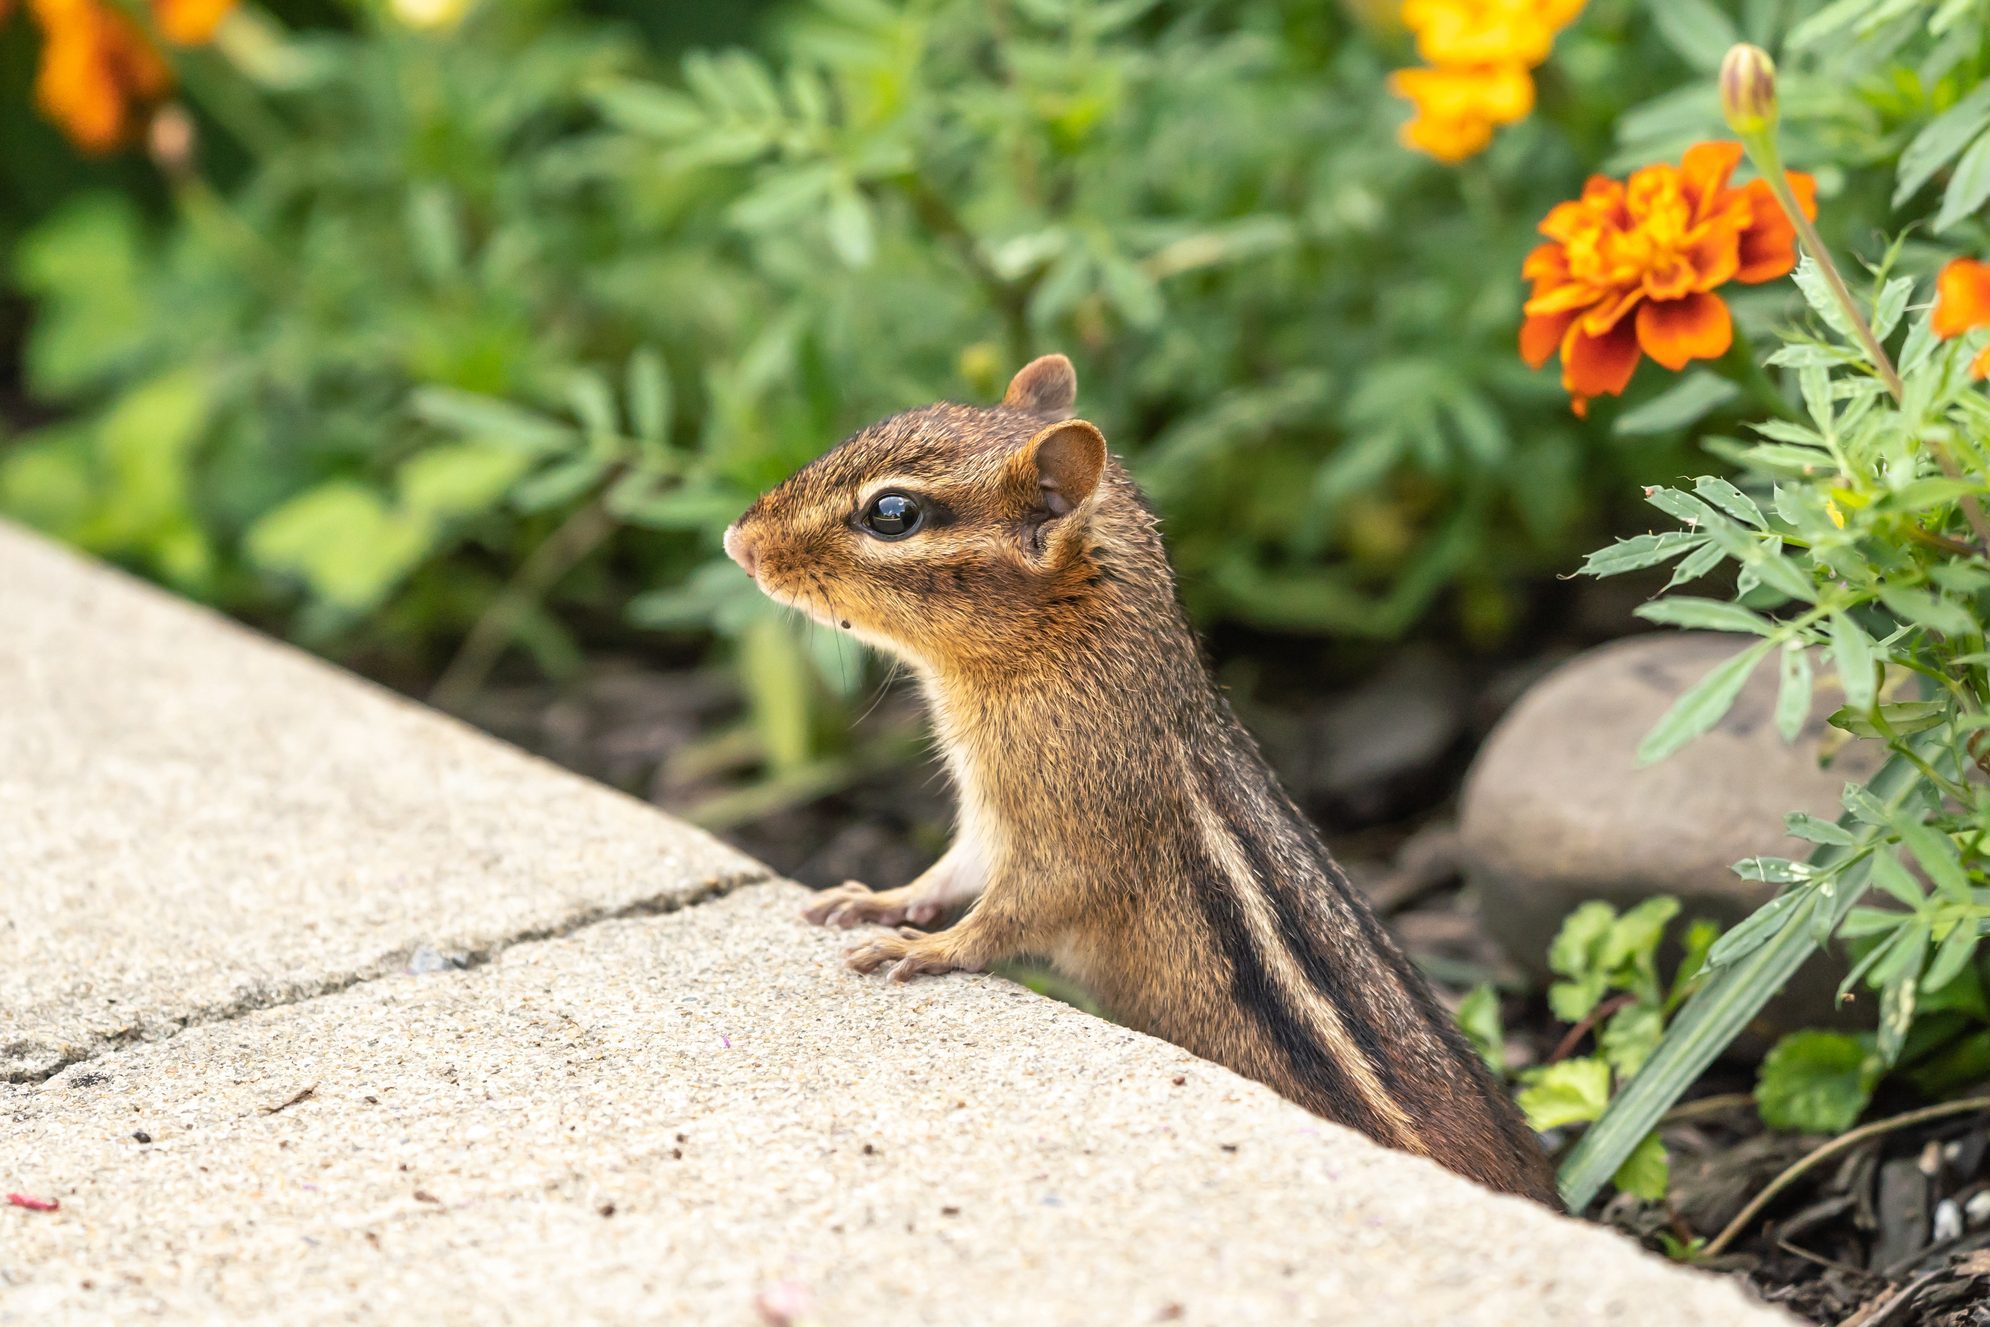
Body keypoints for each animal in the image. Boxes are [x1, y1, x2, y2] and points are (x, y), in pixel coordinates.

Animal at [723, 354, 1559, 1206]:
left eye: (892, 513)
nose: (737, 540)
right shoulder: (988, 818)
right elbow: (950, 871)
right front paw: (877, 899)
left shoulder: (1073, 832)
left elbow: (1016, 910)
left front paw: (932, 946)